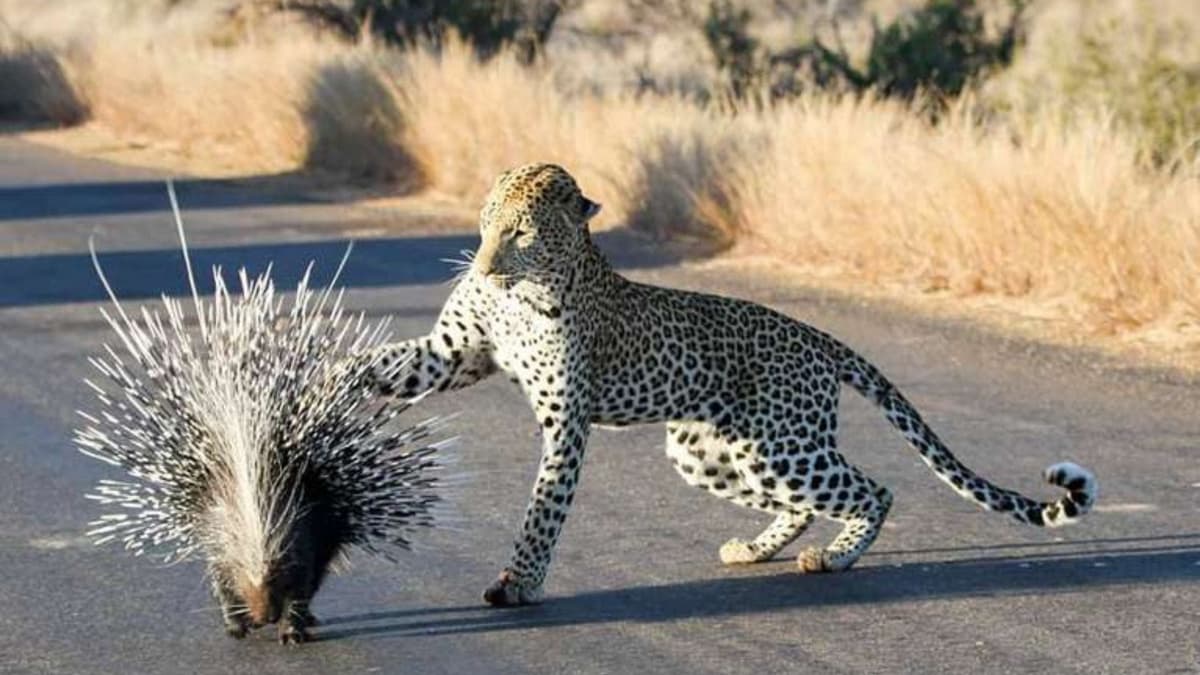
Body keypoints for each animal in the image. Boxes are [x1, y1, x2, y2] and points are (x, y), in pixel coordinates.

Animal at [360, 162, 1098, 607]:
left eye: (519, 232)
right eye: (485, 223)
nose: (482, 268)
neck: (527, 288)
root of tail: (816, 336)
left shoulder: (564, 417)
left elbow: (545, 508)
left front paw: (519, 583)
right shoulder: (453, 353)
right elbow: (380, 366)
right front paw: (336, 376)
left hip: (783, 445)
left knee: (874, 488)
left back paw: (834, 559)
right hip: (714, 451)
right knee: (802, 503)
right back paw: (753, 549)